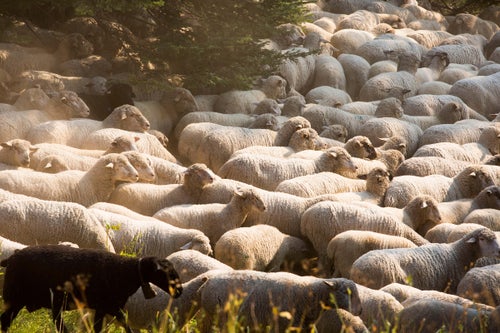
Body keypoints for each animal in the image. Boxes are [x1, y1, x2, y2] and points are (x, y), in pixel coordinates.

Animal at [0, 243, 184, 330]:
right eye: (165, 272)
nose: (180, 291)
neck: (125, 271)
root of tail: (11, 258)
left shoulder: (107, 308)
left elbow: (113, 326)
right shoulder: (108, 306)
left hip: (21, 301)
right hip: (15, 297)